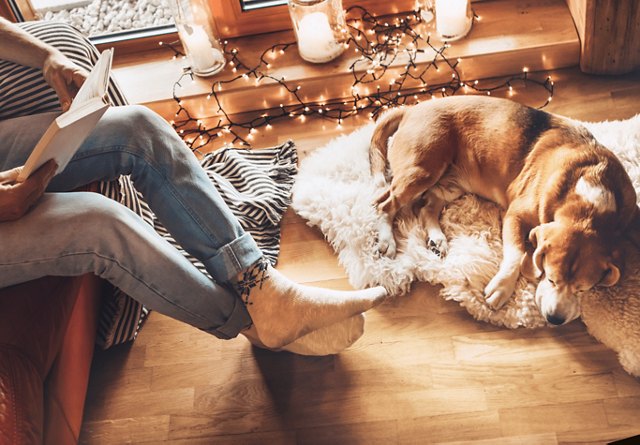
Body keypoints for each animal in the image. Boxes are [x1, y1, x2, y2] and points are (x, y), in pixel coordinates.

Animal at [370, 95, 640, 324]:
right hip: (423, 169)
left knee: (428, 206)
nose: (555, 319)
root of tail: (412, 109)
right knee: (384, 204)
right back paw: (387, 240)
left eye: (583, 288)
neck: (590, 197)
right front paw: (500, 289)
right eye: (550, 277)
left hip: (452, 184)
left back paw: (437, 238)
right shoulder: (515, 215)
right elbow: (518, 254)